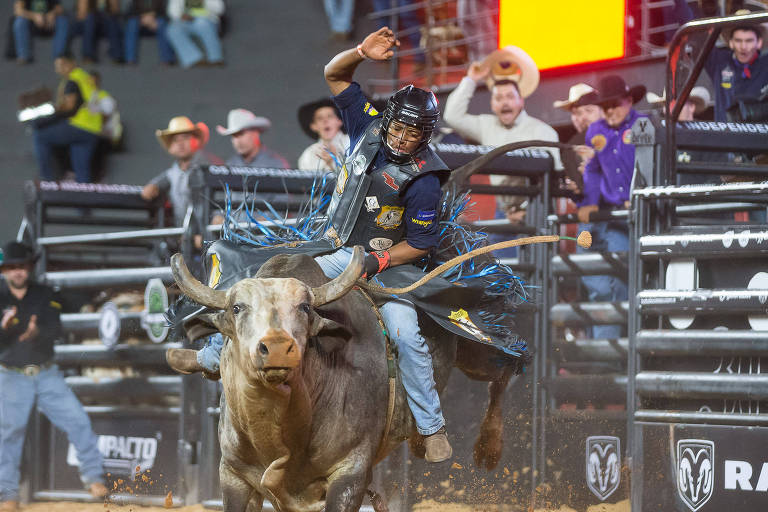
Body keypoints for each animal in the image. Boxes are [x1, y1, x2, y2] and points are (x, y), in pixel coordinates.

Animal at [173, 246, 520, 510]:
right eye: (236, 308)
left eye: (305, 307)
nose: (277, 348)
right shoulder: (234, 475)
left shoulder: (350, 473)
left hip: (475, 350)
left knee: (506, 366)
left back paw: (488, 446)